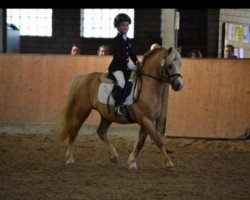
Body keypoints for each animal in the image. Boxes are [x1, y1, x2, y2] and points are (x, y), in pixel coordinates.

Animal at [56, 47, 184, 170]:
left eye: (180, 64)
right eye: (169, 65)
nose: (179, 85)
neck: (147, 87)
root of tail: (84, 77)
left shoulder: (147, 121)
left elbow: (140, 143)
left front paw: (132, 162)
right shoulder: (145, 119)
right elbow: (158, 140)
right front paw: (168, 163)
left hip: (107, 115)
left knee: (101, 132)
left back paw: (114, 156)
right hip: (82, 110)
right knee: (74, 132)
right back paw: (69, 158)